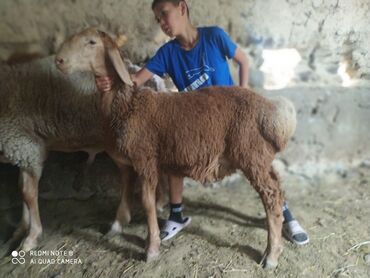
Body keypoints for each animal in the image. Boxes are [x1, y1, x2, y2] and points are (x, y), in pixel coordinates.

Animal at [55, 27, 298, 268]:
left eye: (91, 42)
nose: (59, 60)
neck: (126, 105)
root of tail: (270, 110)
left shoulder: (145, 161)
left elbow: (147, 203)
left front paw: (151, 248)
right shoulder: (126, 164)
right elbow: (124, 193)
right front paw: (116, 225)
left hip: (251, 156)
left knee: (271, 196)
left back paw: (271, 255)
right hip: (261, 157)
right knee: (278, 188)